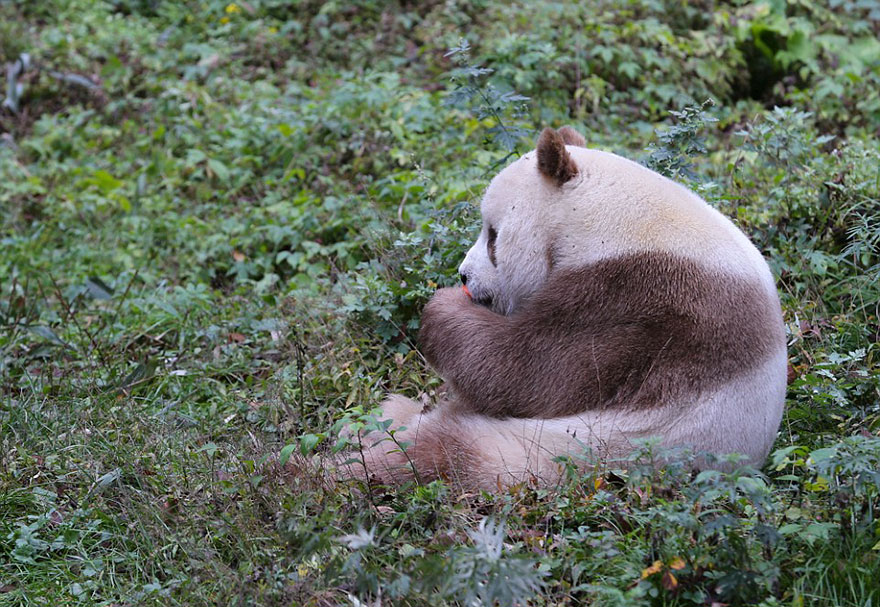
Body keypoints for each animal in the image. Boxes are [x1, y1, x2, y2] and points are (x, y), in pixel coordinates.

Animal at [348, 126, 787, 490]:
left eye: (492, 236)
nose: (464, 275)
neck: (612, 218)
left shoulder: (637, 296)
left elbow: (525, 373)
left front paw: (443, 306)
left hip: (575, 450)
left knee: (439, 456)